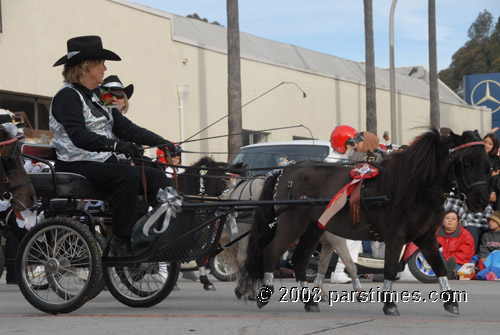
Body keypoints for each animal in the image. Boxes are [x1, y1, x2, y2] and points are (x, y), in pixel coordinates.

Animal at [240, 130, 490, 316]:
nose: (482, 200)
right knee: (271, 253)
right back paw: (266, 292)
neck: (414, 188)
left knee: (299, 260)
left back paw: (309, 300)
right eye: (466, 162)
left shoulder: (425, 237)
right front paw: (389, 304)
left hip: (312, 229)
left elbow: (438, 267)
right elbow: (390, 268)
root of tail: (286, 170)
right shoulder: (396, 236)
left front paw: (450, 301)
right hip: (292, 224)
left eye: (486, 162)